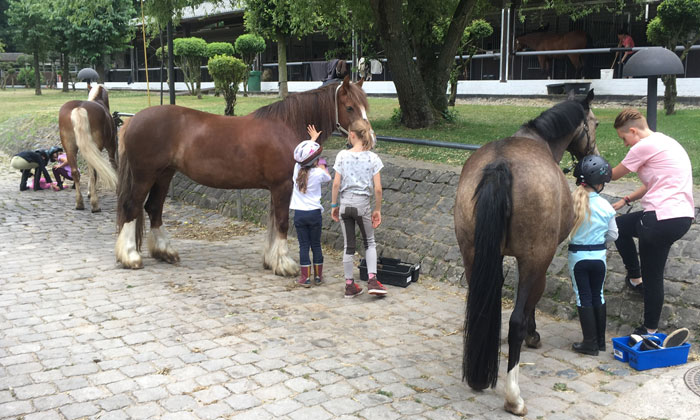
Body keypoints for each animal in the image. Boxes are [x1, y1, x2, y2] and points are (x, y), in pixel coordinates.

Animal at [115, 76, 372, 276]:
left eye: (365, 106)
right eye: (350, 107)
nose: (369, 139)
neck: (285, 126)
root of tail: (132, 120)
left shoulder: (276, 188)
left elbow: (272, 222)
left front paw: (271, 260)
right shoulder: (282, 186)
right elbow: (281, 222)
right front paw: (284, 264)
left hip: (163, 175)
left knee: (153, 208)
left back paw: (165, 252)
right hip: (144, 176)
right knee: (132, 207)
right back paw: (130, 257)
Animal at [456, 90, 600, 416]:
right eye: (595, 123)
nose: (593, 153)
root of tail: (499, 165)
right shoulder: (540, 260)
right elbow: (532, 302)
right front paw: (533, 335)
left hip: (472, 255)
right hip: (534, 258)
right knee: (516, 321)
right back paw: (513, 396)